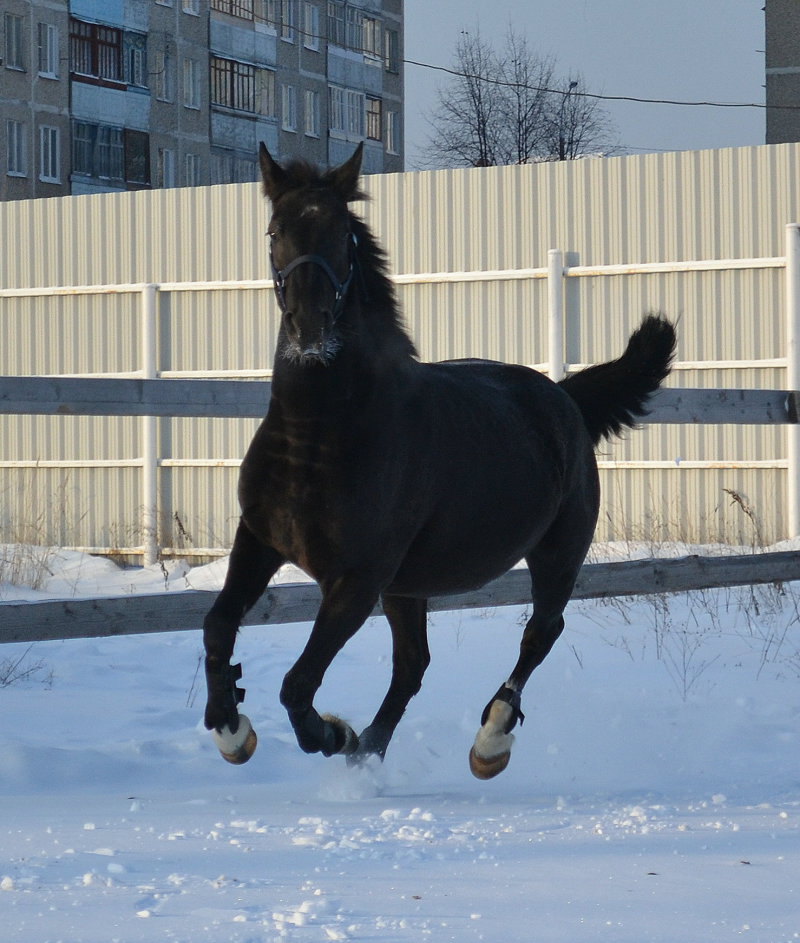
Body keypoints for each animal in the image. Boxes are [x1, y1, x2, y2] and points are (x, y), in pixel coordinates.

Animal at [202, 146, 676, 780]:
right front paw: (232, 729)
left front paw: (326, 733)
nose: (310, 329)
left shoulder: (356, 580)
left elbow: (298, 684)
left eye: (343, 234)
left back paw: (489, 742)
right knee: (413, 666)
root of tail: (564, 397)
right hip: (408, 586)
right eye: (276, 231)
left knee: (539, 634)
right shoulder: (259, 541)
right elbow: (218, 627)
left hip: (556, 555)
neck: (318, 435)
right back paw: (366, 751)